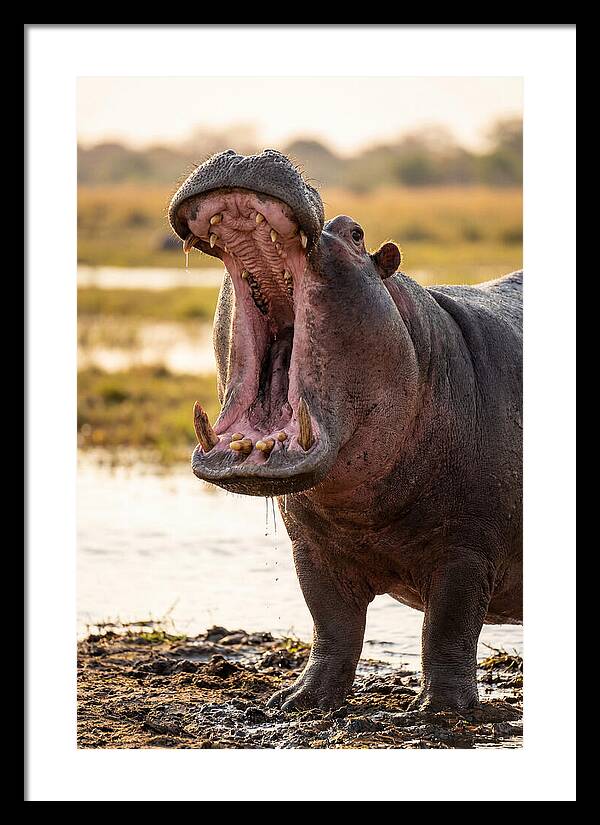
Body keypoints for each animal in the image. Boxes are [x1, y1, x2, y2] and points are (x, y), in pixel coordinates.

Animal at [168, 149, 523, 712]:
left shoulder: (468, 549)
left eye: (356, 234)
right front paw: (299, 700)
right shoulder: (311, 548)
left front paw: (442, 711)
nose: (247, 153)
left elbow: (449, 627)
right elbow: (332, 623)